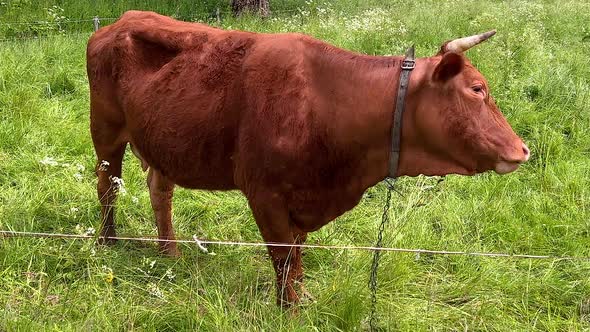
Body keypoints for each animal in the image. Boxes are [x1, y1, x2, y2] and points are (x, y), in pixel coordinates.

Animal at [86, 9, 532, 306]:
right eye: (477, 88)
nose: (522, 149)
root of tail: (119, 21)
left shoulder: (302, 199)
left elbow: (297, 259)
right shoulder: (264, 195)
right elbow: (285, 262)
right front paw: (290, 312)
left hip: (162, 142)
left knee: (160, 191)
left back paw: (170, 252)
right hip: (105, 131)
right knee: (106, 185)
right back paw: (108, 242)